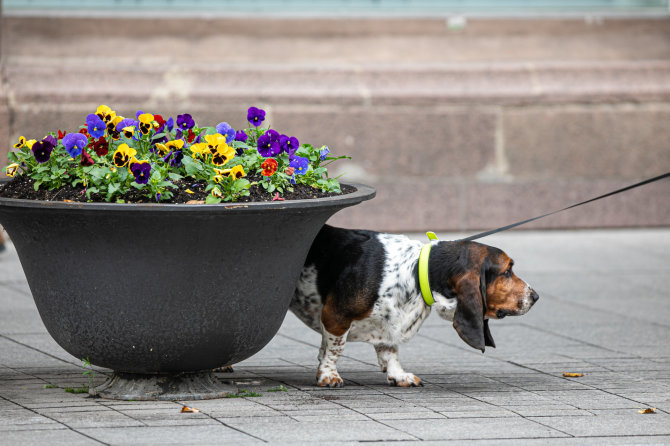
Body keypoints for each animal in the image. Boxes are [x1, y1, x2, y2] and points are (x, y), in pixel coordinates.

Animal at [290, 225, 540, 388]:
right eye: (507, 271)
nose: (535, 296)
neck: (416, 271)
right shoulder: (336, 317)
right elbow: (335, 348)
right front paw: (328, 375)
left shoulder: (387, 325)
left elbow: (390, 352)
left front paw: (399, 375)